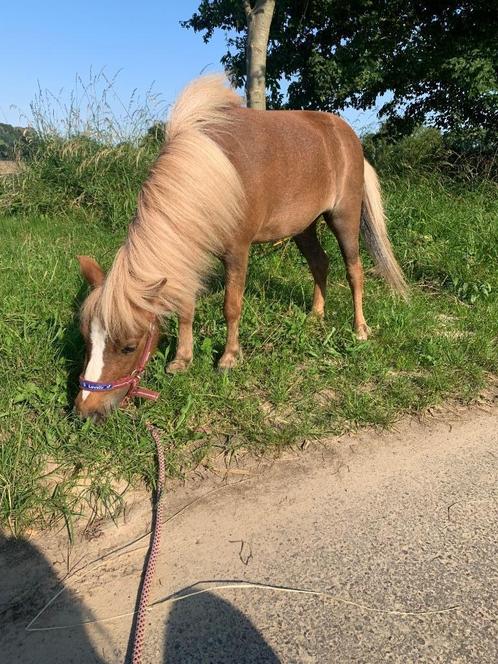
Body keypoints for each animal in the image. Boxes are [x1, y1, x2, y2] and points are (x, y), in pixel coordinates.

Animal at [76, 75, 406, 420]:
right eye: (86, 338)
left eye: (129, 346)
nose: (86, 410)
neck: (214, 175)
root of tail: (349, 138)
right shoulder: (193, 254)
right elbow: (185, 308)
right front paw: (182, 359)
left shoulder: (237, 252)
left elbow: (231, 306)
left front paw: (229, 357)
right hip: (304, 228)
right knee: (320, 263)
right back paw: (316, 316)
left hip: (345, 218)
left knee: (354, 271)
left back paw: (360, 328)